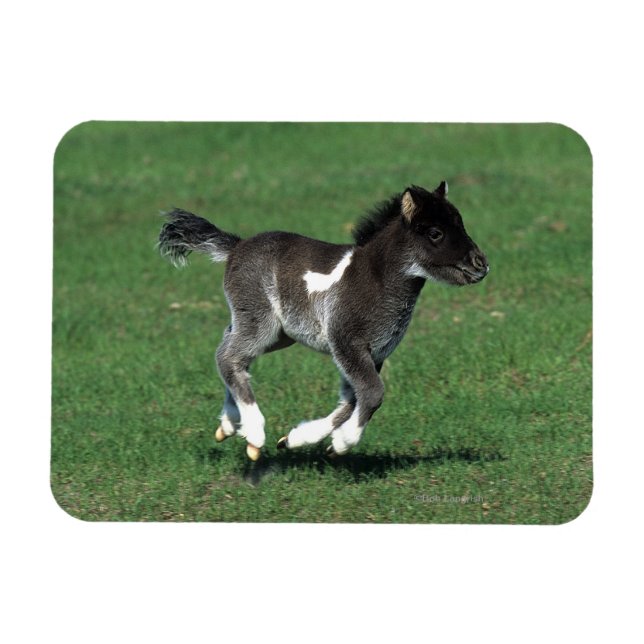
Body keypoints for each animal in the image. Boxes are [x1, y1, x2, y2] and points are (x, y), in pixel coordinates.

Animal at [158, 181, 489, 461]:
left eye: (461, 224)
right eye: (435, 233)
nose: (481, 265)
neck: (376, 279)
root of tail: (236, 247)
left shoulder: (374, 352)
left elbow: (351, 400)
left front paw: (296, 440)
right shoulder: (346, 341)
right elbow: (372, 393)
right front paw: (342, 443)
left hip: (277, 333)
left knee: (230, 349)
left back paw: (229, 424)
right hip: (261, 322)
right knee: (228, 357)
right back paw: (254, 433)